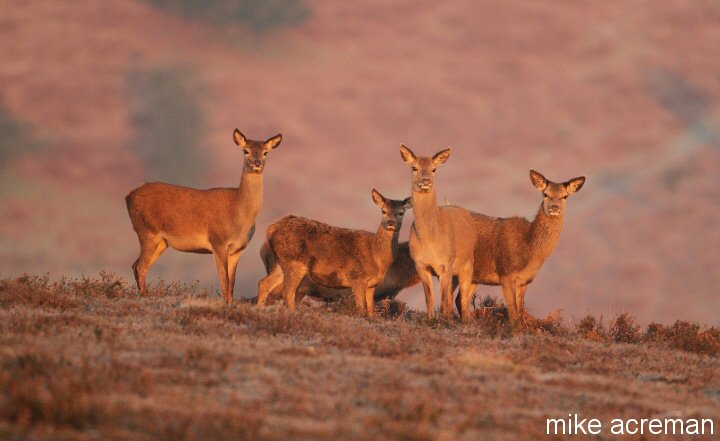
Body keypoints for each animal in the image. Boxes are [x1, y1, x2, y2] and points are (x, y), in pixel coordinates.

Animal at [125, 129, 282, 305]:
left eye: (265, 152)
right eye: (245, 150)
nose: (257, 163)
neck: (240, 213)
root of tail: (128, 196)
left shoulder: (237, 249)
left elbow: (232, 284)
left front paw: (229, 304)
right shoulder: (218, 242)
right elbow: (224, 282)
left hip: (162, 242)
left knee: (135, 265)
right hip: (147, 232)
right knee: (140, 266)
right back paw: (145, 297)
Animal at [400, 145, 478, 321]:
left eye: (434, 169)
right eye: (414, 168)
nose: (425, 180)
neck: (430, 242)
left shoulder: (446, 264)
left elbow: (443, 299)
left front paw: (443, 320)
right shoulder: (420, 264)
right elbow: (429, 297)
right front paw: (430, 319)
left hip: (467, 264)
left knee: (463, 297)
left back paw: (466, 319)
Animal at [455, 170, 585, 323]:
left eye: (565, 196)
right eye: (545, 194)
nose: (554, 208)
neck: (529, 250)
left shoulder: (524, 281)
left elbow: (520, 310)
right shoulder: (505, 274)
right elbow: (513, 315)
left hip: (474, 276)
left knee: (460, 300)